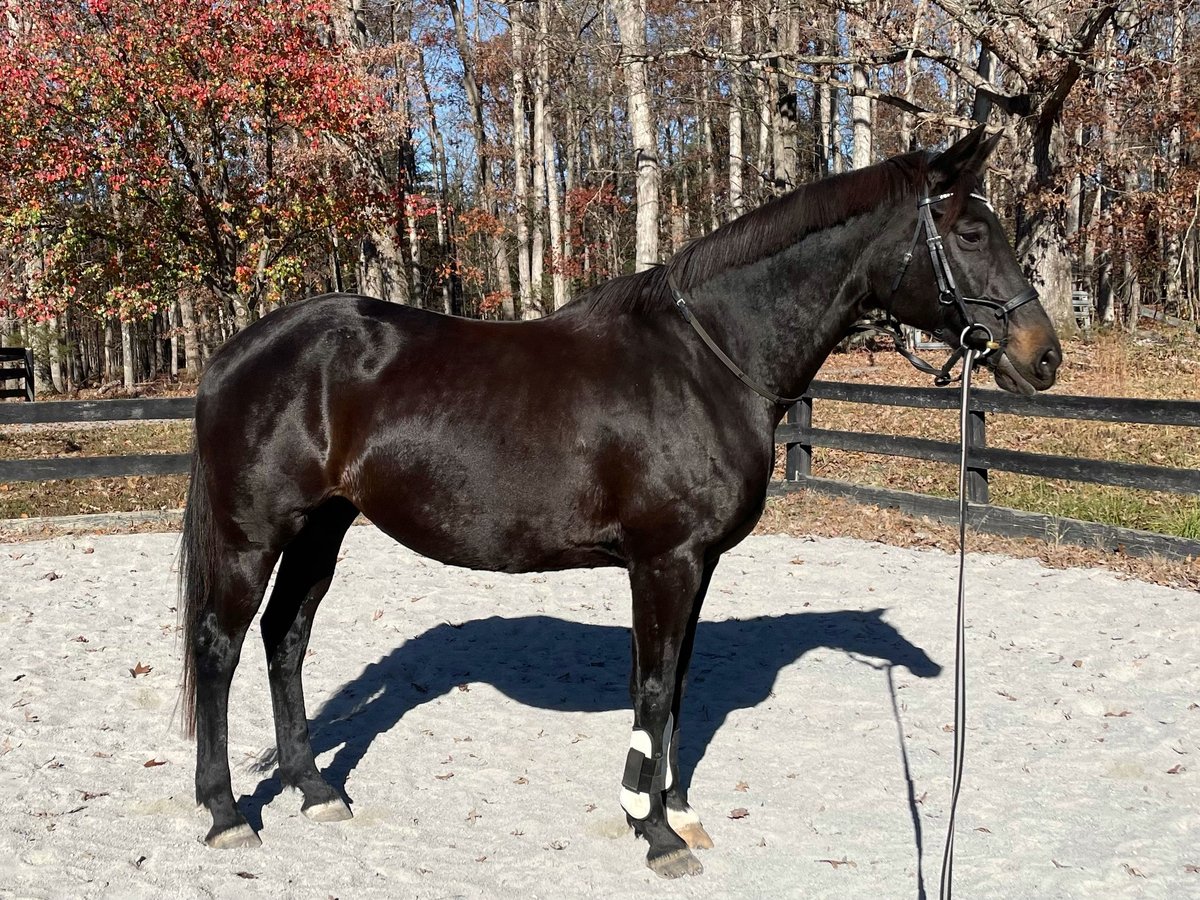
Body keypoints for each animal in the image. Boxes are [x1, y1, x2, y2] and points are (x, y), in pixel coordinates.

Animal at [177, 128, 1060, 883]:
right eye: (971, 233)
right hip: (254, 534)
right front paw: (655, 830)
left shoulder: (695, 565)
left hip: (321, 527)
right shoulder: (664, 561)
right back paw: (225, 813)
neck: (707, 361)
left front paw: (677, 811)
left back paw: (315, 789)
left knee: (286, 637)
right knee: (220, 647)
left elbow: (678, 686)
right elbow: (657, 688)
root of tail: (235, 354)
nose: (1042, 357)